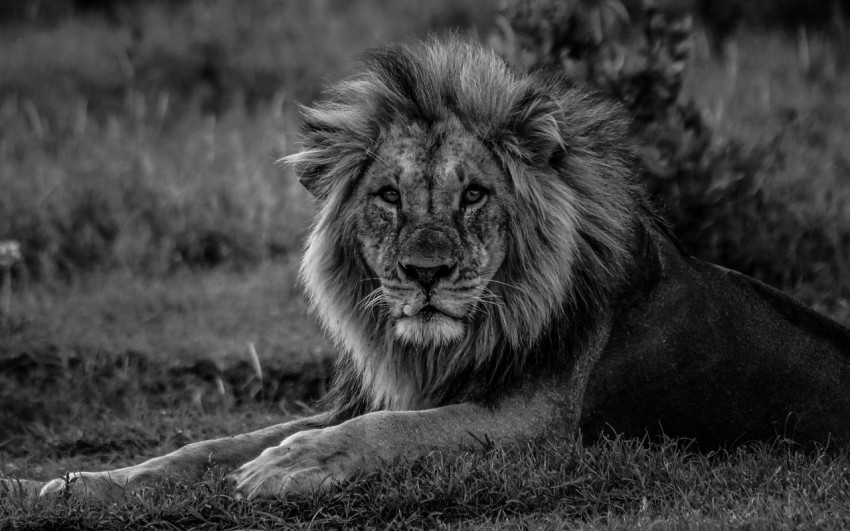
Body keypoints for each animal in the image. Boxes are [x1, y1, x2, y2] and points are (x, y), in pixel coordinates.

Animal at [4, 38, 848, 502]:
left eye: (475, 195)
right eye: (388, 196)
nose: (426, 273)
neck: (445, 346)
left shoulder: (537, 424)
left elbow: (399, 430)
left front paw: (292, 465)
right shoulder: (378, 391)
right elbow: (204, 446)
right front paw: (69, 485)